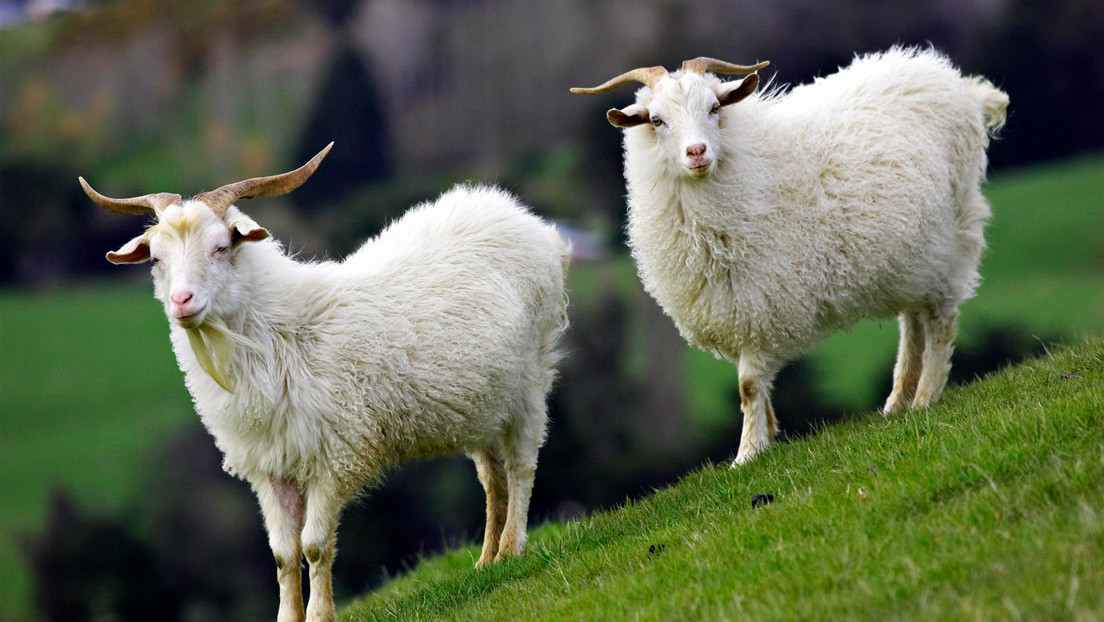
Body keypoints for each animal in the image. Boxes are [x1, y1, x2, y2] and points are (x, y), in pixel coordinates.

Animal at [80, 143, 570, 622]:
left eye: (220, 247)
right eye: (157, 258)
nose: (182, 301)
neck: (282, 334)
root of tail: (506, 207)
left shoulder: (336, 454)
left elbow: (314, 546)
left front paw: (319, 615)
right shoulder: (270, 464)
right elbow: (282, 553)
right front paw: (289, 616)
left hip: (532, 378)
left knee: (521, 467)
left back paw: (513, 548)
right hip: (484, 403)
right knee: (493, 478)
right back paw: (488, 559)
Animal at [572, 47, 1009, 465]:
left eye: (714, 108)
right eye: (656, 120)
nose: (697, 152)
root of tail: (951, 80)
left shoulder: (758, 300)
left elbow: (747, 386)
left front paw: (747, 454)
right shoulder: (731, 307)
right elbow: (750, 387)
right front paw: (767, 433)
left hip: (951, 237)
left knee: (941, 322)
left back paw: (924, 397)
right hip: (911, 257)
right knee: (913, 323)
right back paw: (897, 402)